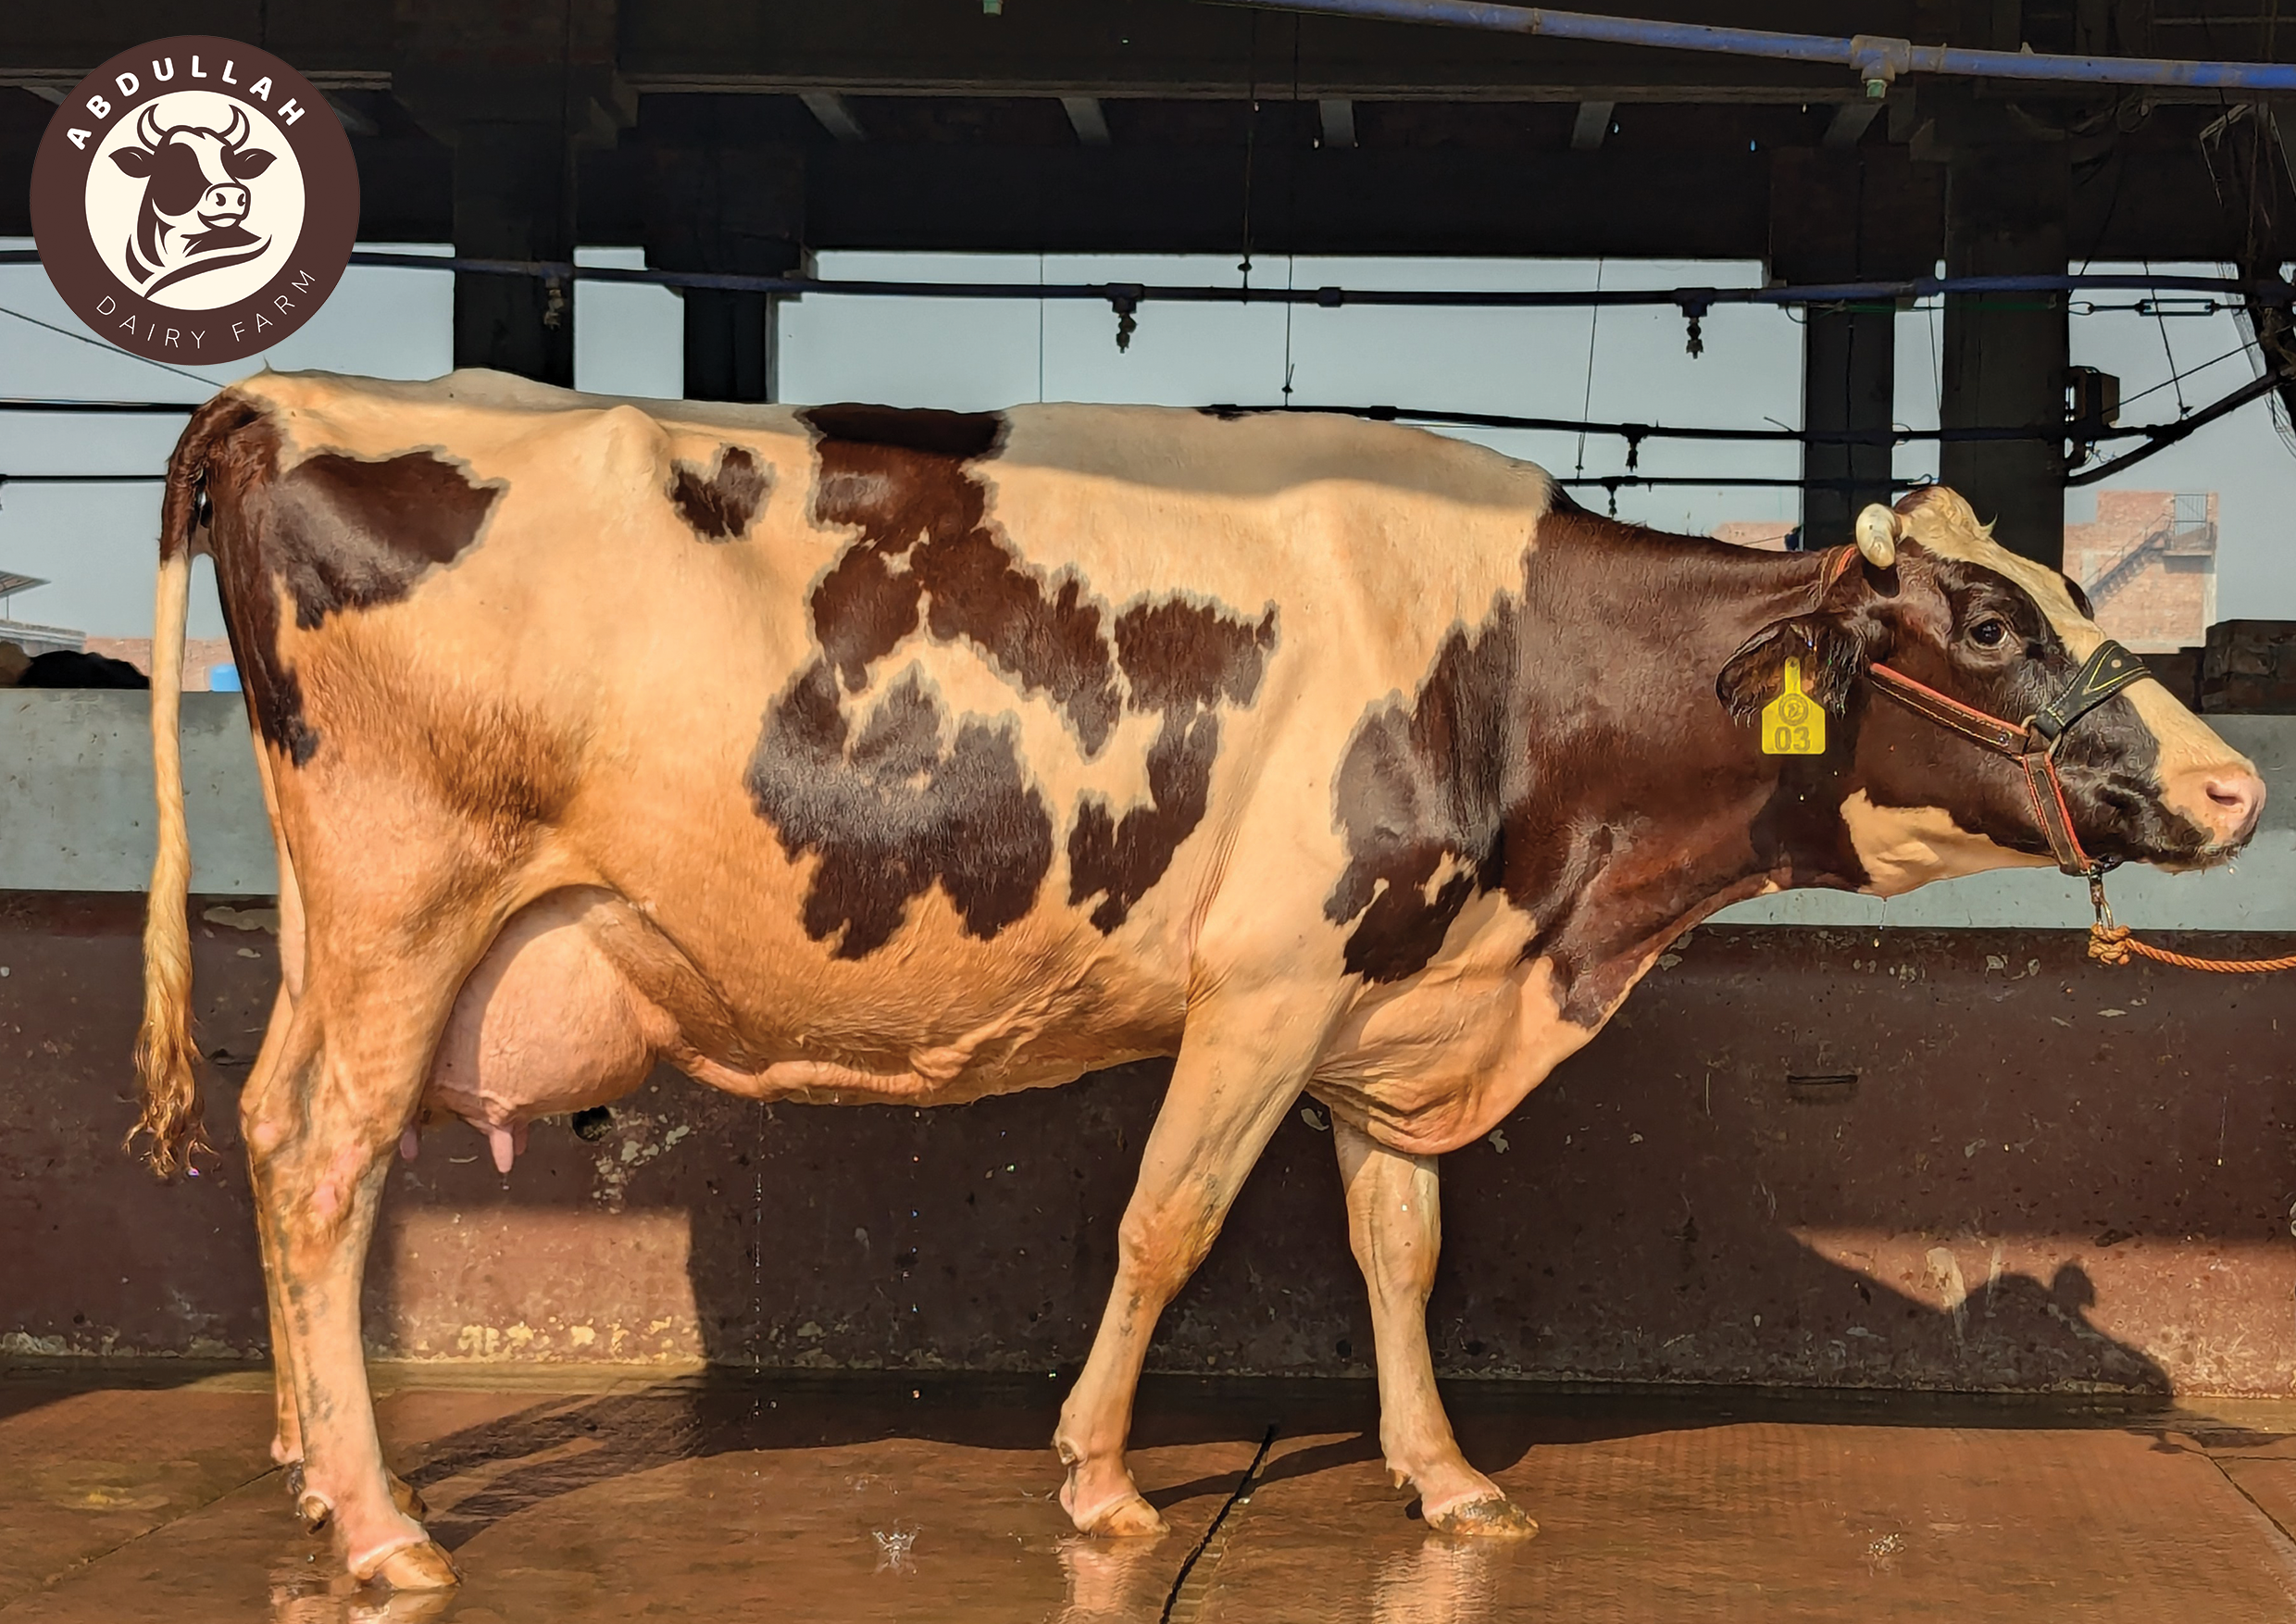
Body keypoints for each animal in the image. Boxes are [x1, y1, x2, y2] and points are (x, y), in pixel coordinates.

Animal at [135, 371, 2262, 1592]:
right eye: (1985, 619)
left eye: (2078, 595)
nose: (2240, 783)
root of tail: (287, 390)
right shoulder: (1269, 976)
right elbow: (1168, 1218)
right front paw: (1094, 1480)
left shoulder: (1393, 989)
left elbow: (1401, 1243)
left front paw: (1444, 1480)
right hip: (411, 893)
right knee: (326, 1167)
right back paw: (386, 1526)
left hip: (341, 928)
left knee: (268, 1126)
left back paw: (308, 1465)